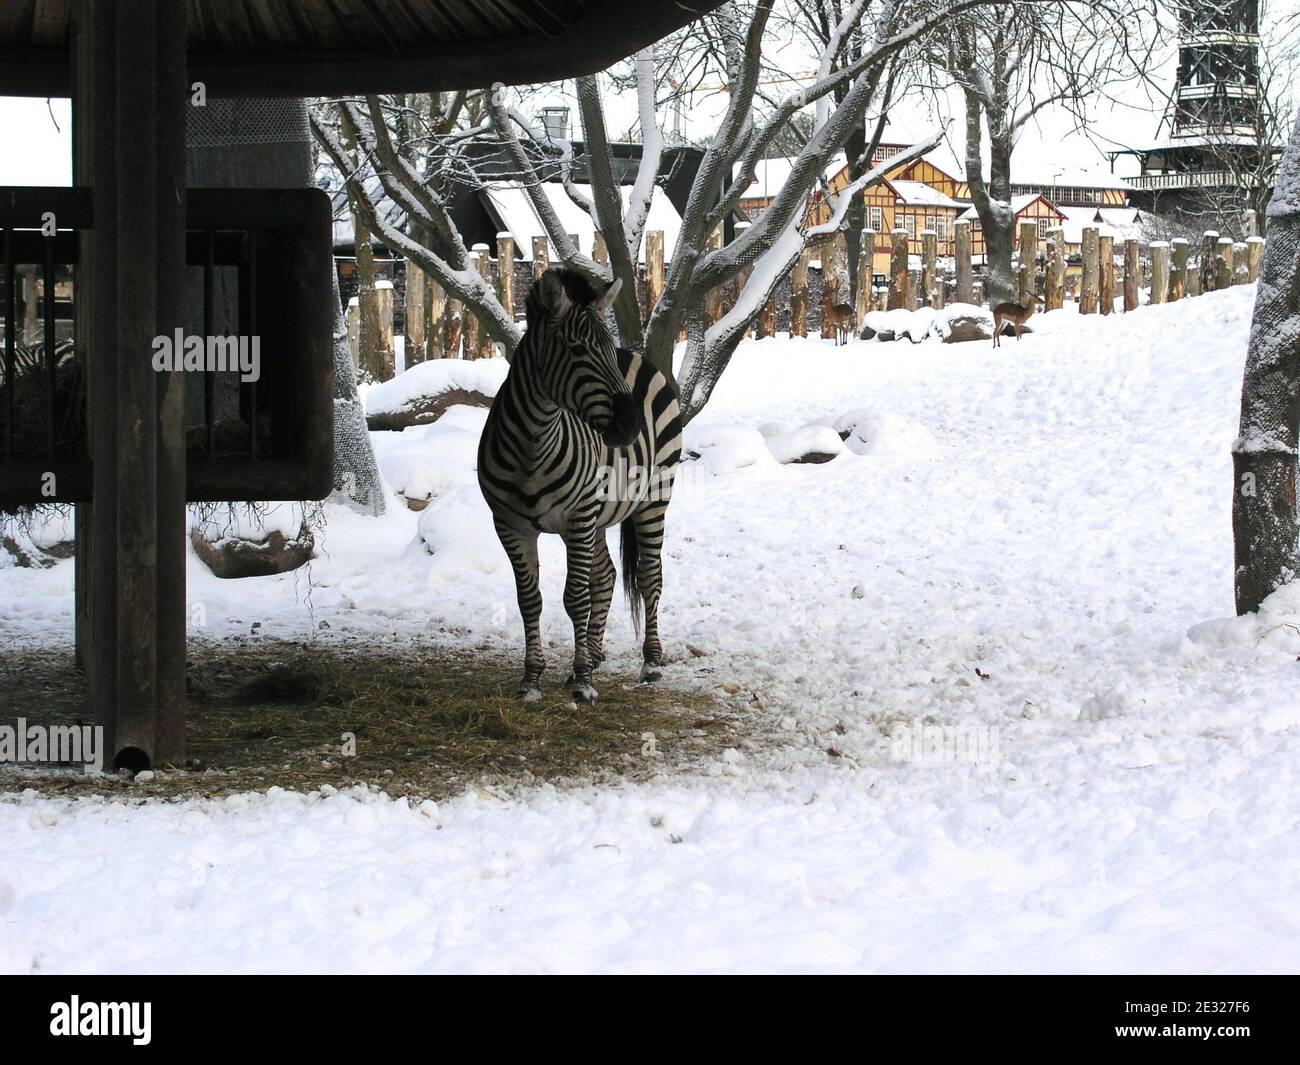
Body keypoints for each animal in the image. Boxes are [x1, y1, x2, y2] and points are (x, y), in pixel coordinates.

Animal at [475, 266, 681, 702]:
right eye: (574, 349)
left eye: (604, 351)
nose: (630, 426)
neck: (532, 445)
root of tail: (634, 354)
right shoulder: (510, 525)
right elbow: (530, 600)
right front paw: (532, 680)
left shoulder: (578, 516)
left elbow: (576, 598)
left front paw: (584, 682)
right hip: (599, 515)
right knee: (606, 576)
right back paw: (594, 655)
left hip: (654, 498)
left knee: (650, 576)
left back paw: (650, 662)